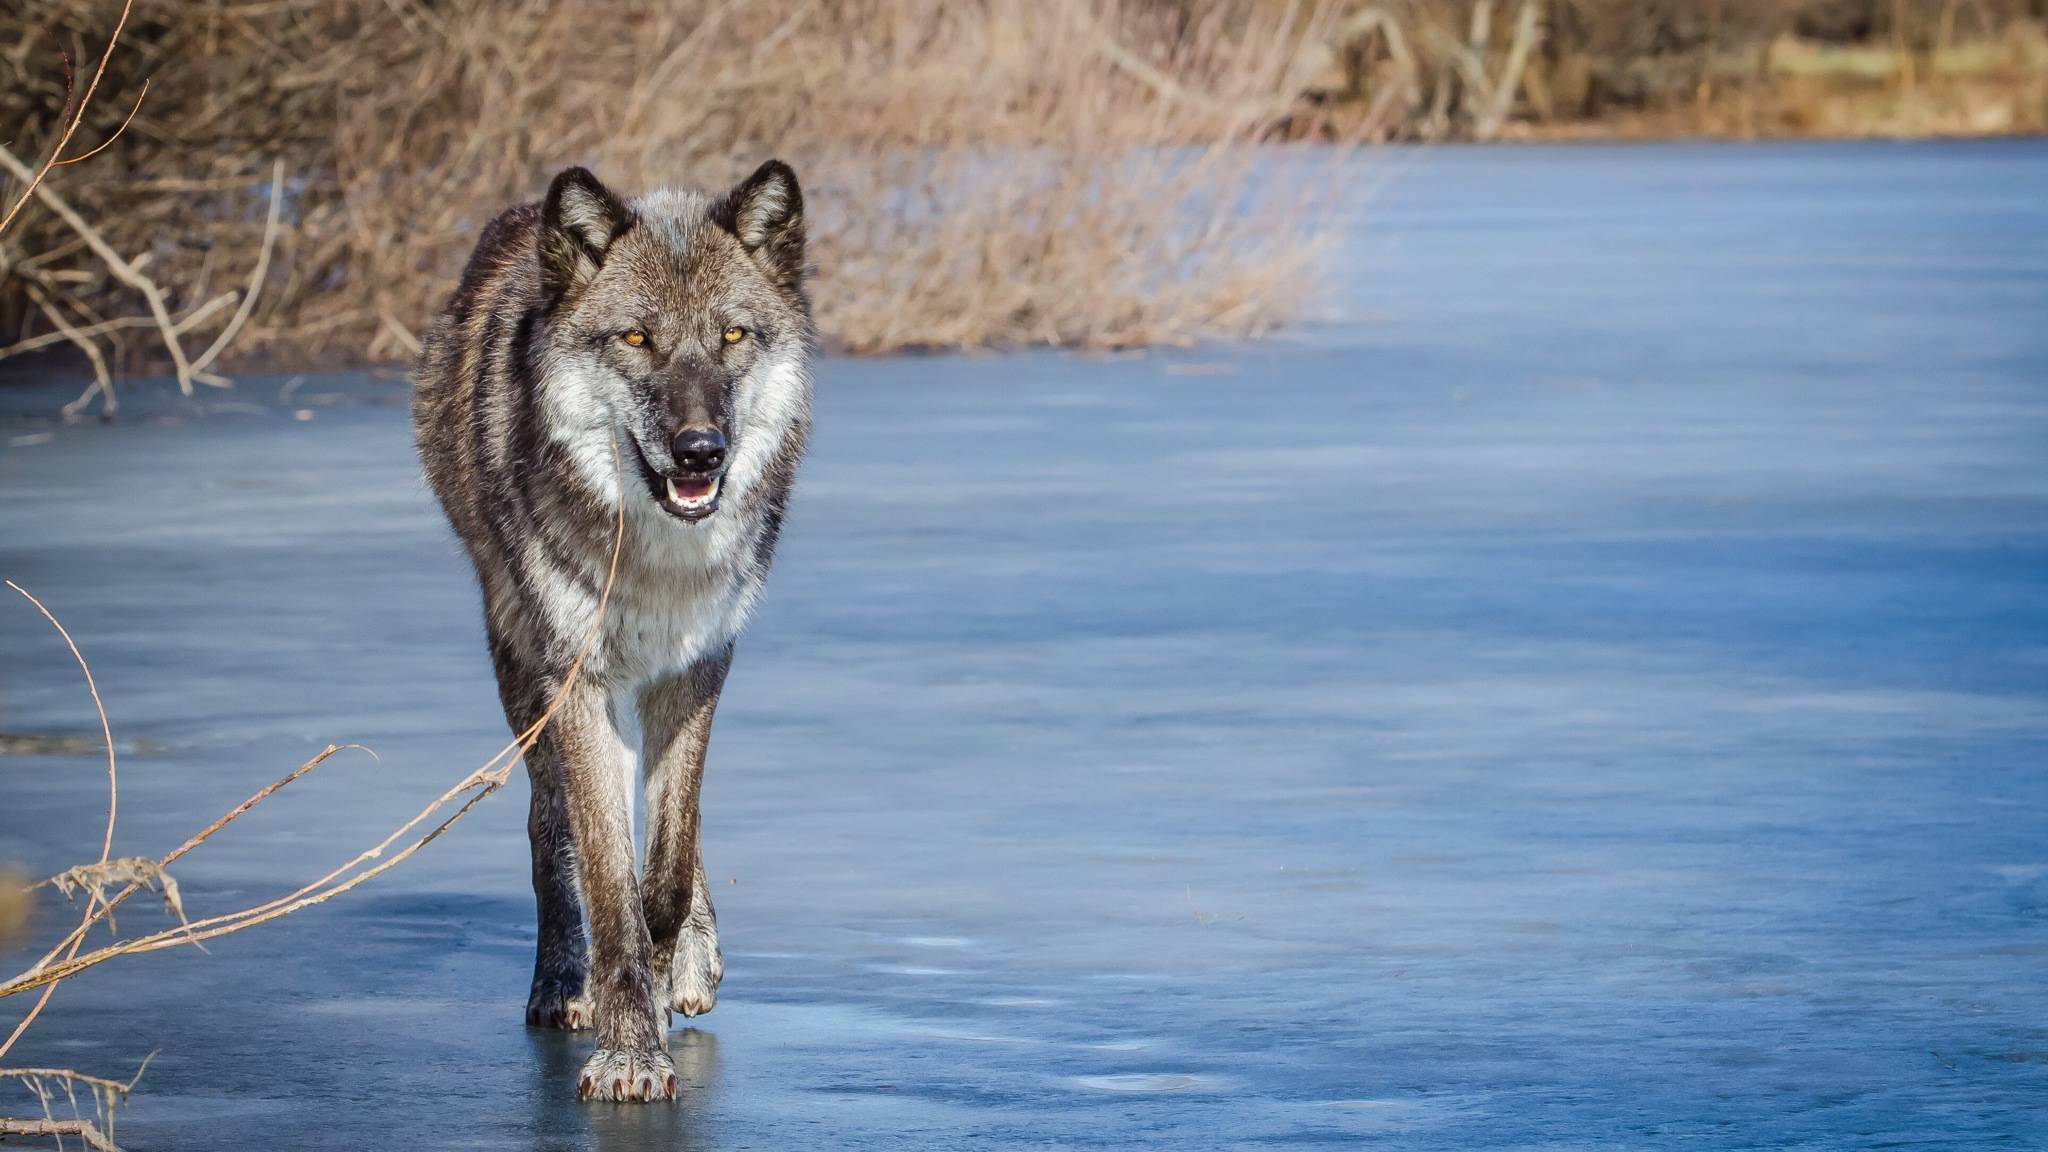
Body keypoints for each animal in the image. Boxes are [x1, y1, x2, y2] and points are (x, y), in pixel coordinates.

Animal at [412, 161, 811, 1102]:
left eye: (733, 334)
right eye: (635, 338)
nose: (700, 451)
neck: (660, 558)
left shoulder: (700, 666)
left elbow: (664, 864)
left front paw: (670, 974)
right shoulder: (580, 680)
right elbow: (607, 874)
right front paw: (630, 1046)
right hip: (519, 661)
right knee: (548, 822)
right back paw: (564, 981)